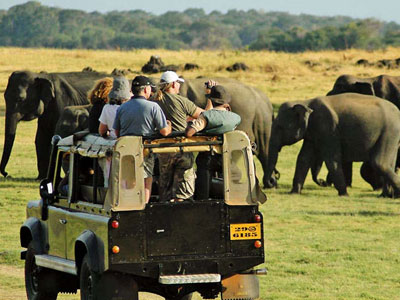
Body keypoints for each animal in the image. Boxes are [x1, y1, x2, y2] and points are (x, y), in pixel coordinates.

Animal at [266, 94, 400, 197]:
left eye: (279, 127)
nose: (272, 181)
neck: (306, 102)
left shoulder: (328, 128)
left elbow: (331, 160)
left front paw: (344, 195)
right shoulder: (312, 133)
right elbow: (303, 159)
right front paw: (293, 193)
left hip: (389, 132)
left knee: (380, 163)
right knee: (389, 164)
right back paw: (386, 196)